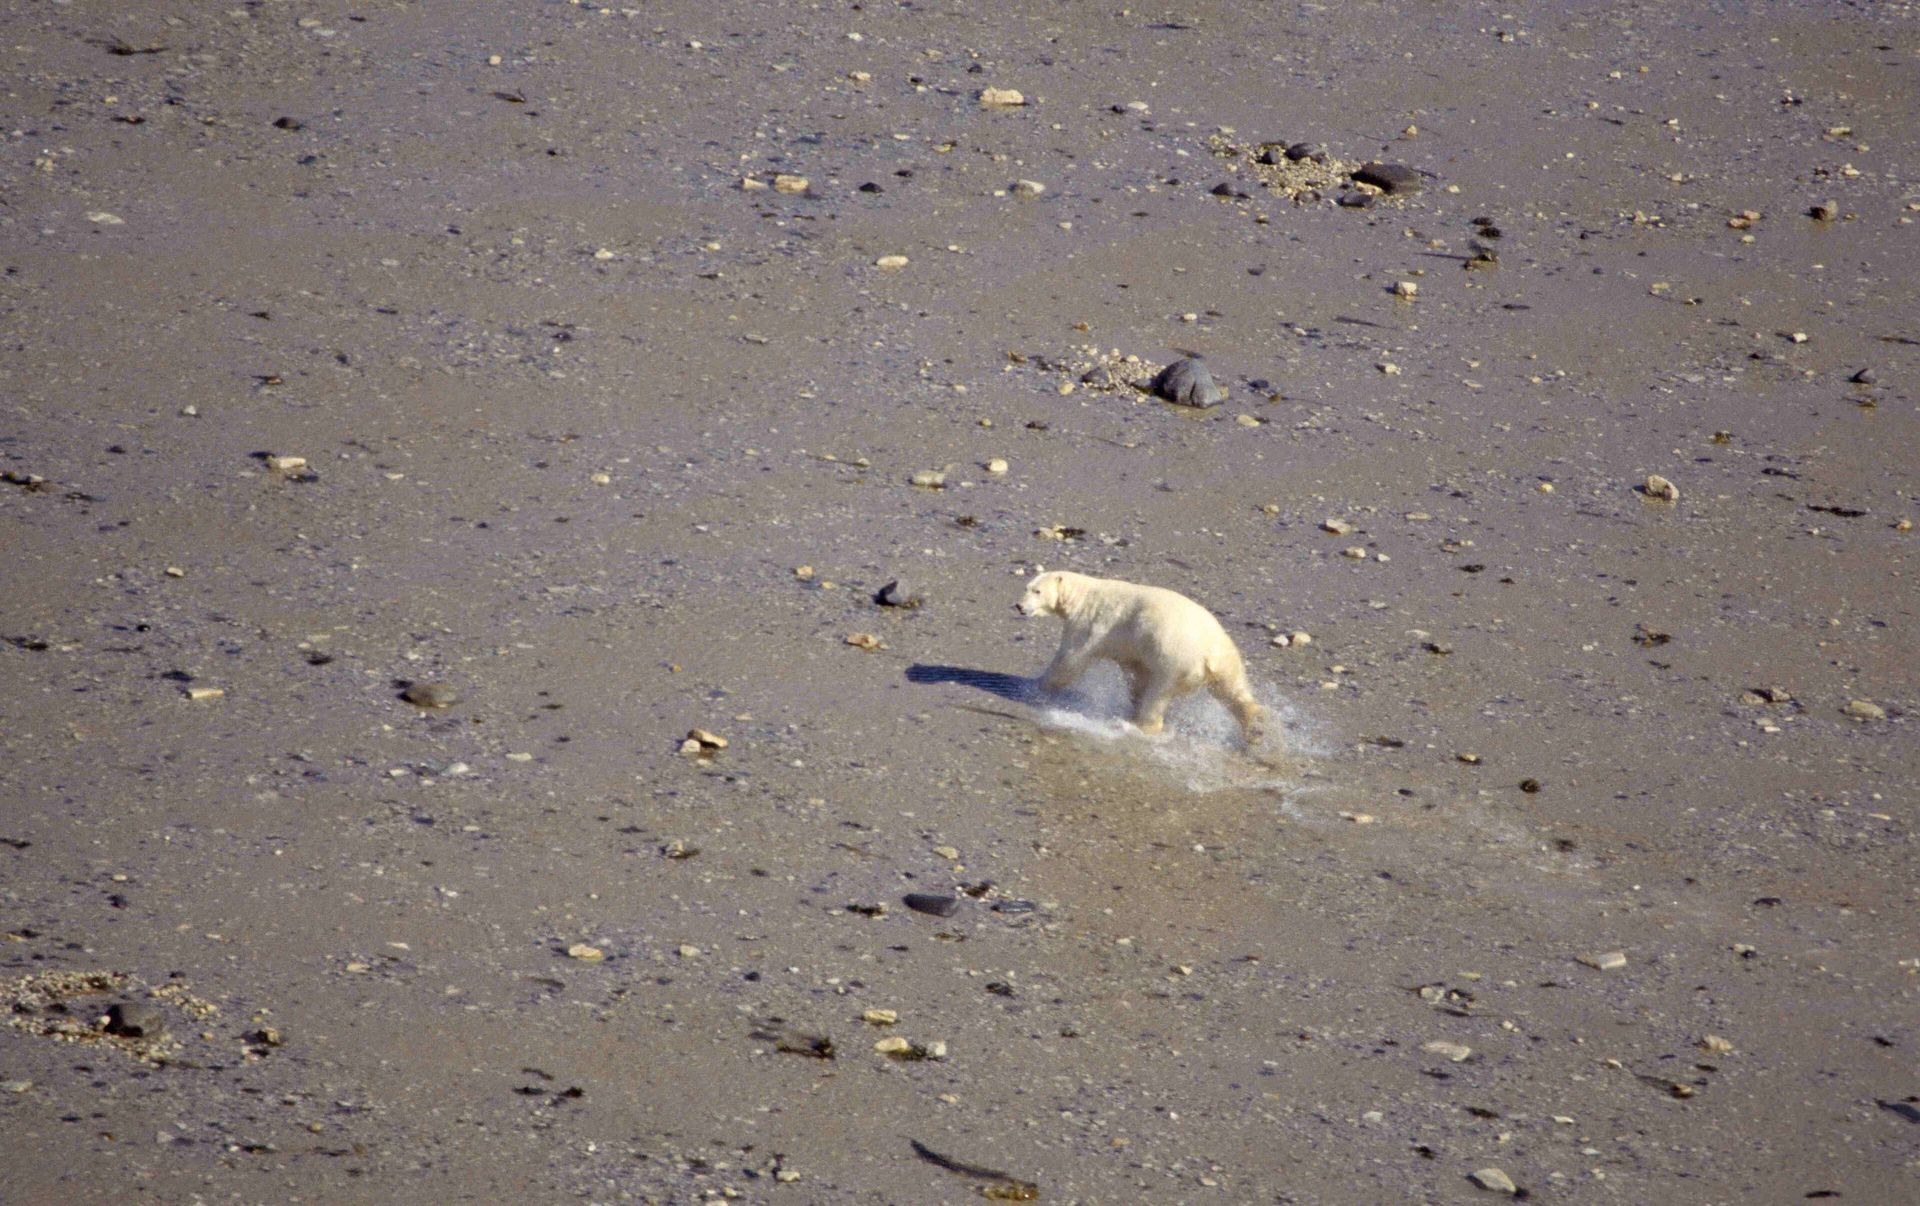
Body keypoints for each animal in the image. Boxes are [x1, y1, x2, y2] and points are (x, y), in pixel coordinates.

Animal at [1015, 570, 1266, 746]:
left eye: (1037, 591)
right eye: (1026, 587)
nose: (1019, 605)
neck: (1081, 595)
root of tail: (1208, 654)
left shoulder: (1091, 623)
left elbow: (1071, 659)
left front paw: (1036, 685)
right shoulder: (1134, 645)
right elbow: (1137, 672)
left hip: (1175, 662)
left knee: (1158, 695)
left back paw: (1140, 726)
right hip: (1227, 657)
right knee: (1232, 690)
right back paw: (1256, 726)